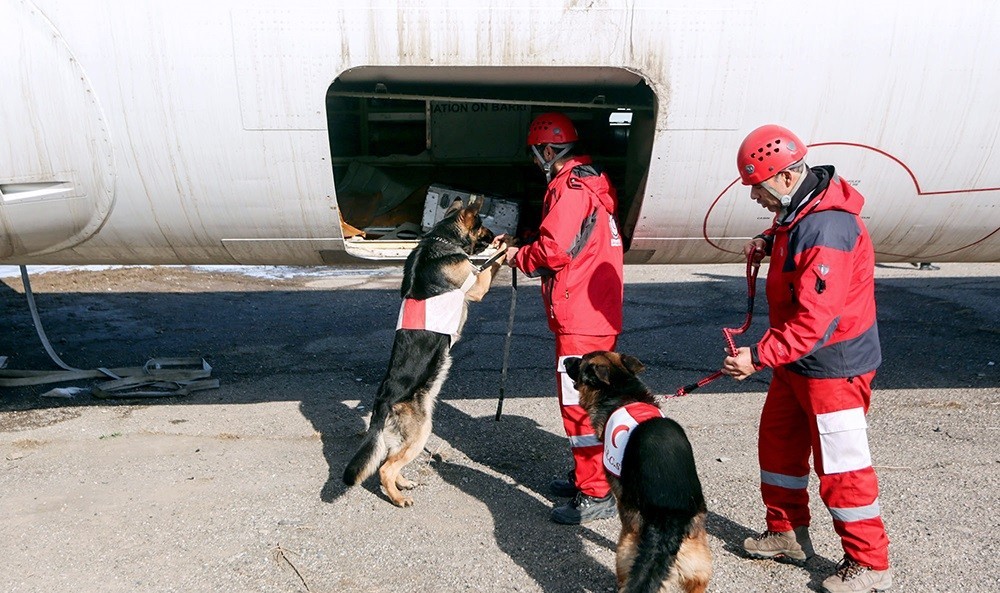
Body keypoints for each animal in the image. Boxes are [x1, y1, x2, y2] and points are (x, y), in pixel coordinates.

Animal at [343, 197, 504, 507]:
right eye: (481, 226)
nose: (493, 236)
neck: (440, 238)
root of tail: (383, 400)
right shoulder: (476, 286)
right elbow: (493, 264)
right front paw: (510, 244)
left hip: (406, 437)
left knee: (391, 461)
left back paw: (402, 483)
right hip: (422, 431)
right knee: (385, 468)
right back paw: (397, 498)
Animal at [564, 351, 712, 593]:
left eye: (580, 361)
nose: (565, 361)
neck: (622, 390)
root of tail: (670, 516)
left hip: (626, 545)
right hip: (699, 559)